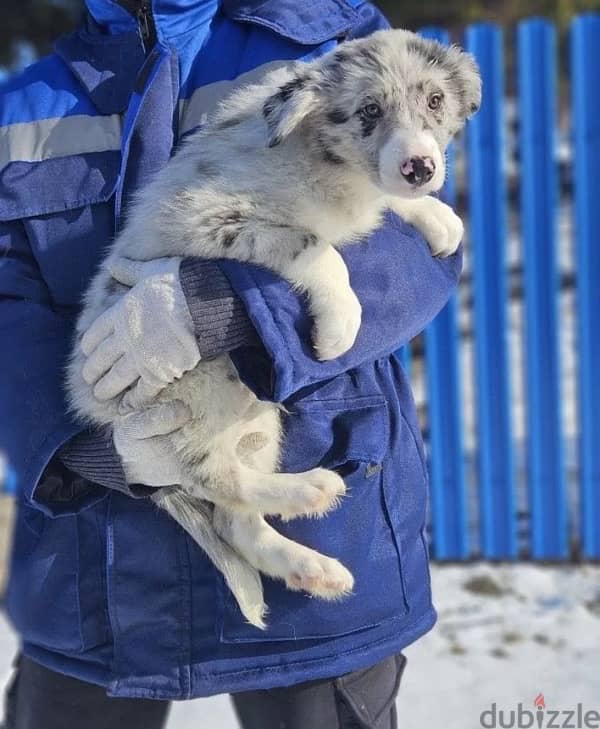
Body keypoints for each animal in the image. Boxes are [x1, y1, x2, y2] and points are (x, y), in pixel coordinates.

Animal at [68, 28, 480, 624]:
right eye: (369, 111)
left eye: (434, 101)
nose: (420, 168)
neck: (328, 167)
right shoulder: (215, 218)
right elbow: (318, 248)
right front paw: (340, 328)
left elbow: (383, 208)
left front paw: (437, 217)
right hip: (195, 394)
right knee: (214, 478)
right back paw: (311, 490)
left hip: (255, 420)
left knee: (234, 517)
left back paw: (314, 567)